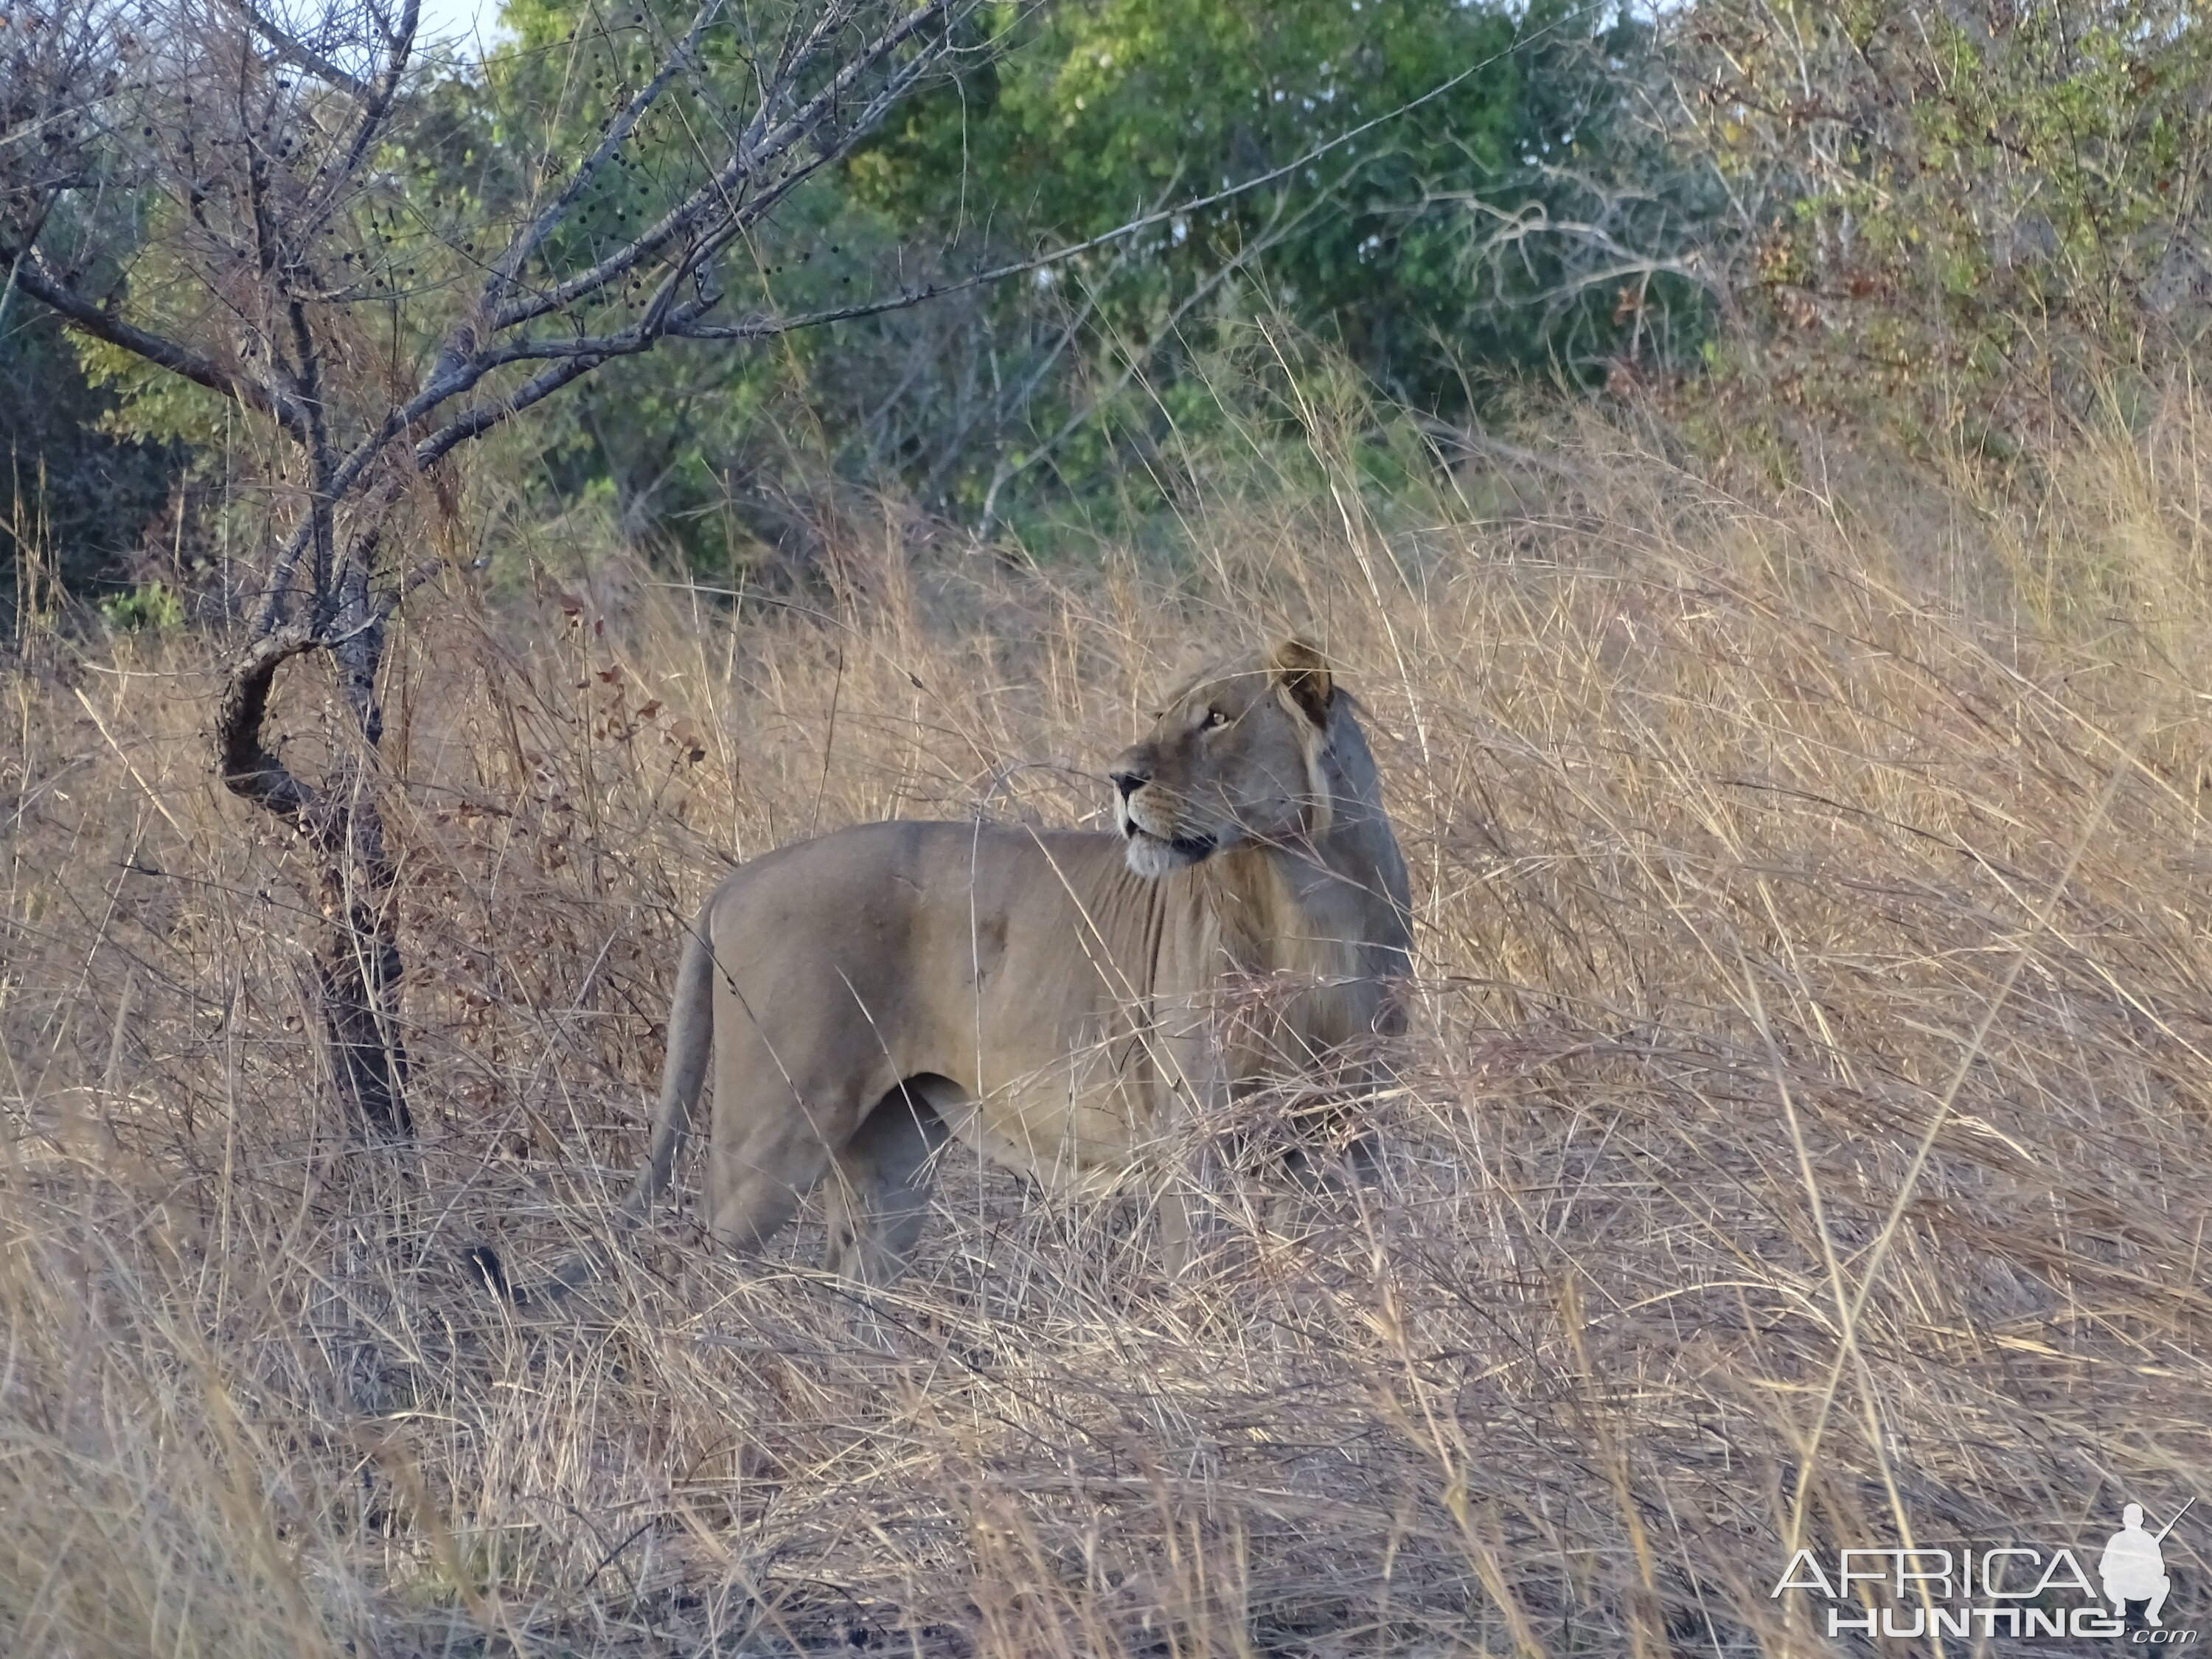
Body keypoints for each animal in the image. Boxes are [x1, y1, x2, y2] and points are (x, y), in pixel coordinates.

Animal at [478, 641, 1416, 1310]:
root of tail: (733, 883)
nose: (1121, 778)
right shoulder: (1195, 1138)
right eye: (1163, 716)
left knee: (849, 1282)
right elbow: (1205, 1269)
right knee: (700, 1266)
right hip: (773, 1130)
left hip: (890, 1156)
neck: (1310, 893)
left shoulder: (1357, 1132)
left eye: (1218, 718)